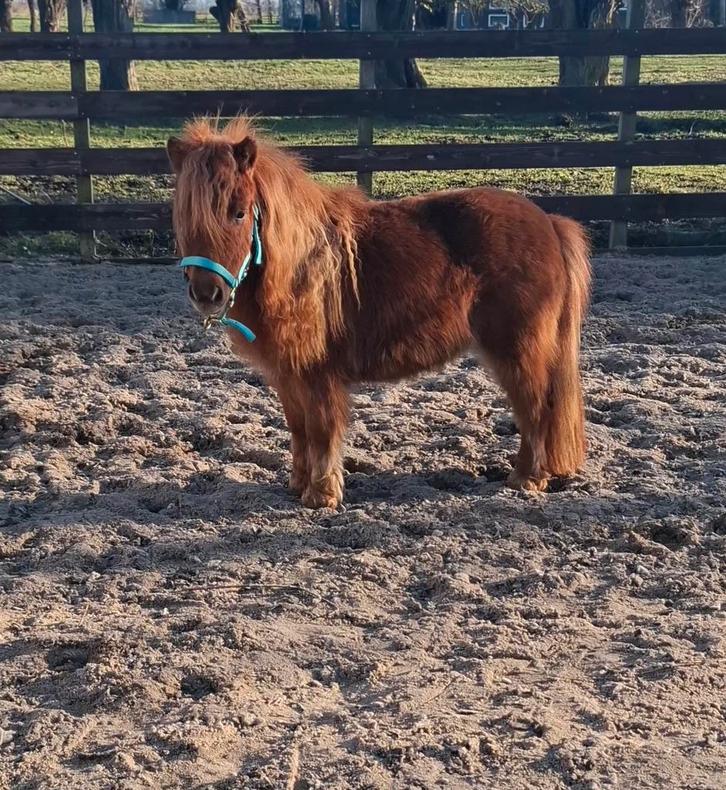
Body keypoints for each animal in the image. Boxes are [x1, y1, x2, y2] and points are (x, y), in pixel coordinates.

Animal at [167, 116, 591, 509]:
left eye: (239, 213)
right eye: (184, 215)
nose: (207, 293)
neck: (299, 263)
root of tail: (549, 222)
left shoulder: (318, 375)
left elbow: (320, 430)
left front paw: (321, 495)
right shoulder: (286, 375)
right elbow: (298, 428)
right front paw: (298, 485)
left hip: (516, 350)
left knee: (534, 407)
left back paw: (526, 479)